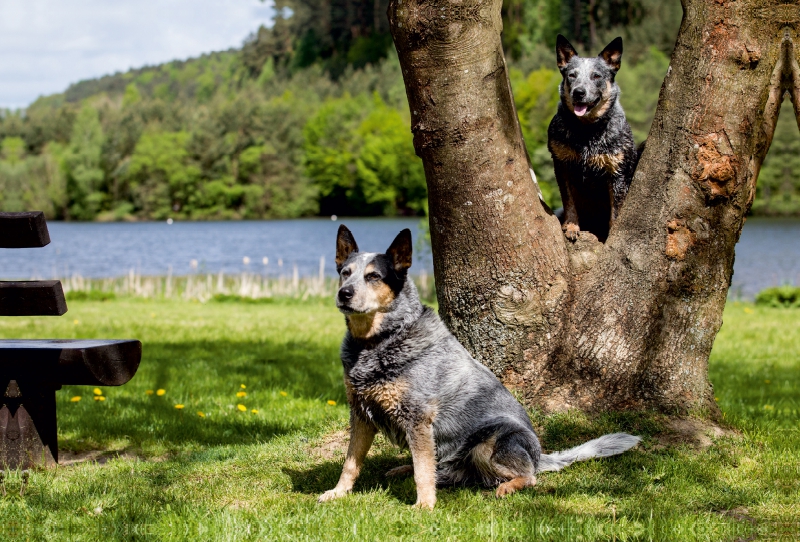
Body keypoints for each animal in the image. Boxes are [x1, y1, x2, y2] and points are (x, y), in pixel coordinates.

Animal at [318, 225, 636, 510]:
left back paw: (508, 486)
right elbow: (351, 463)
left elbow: (423, 472)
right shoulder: (360, 412)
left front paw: (424, 506)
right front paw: (337, 493)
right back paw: (404, 470)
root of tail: (540, 455)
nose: (344, 293)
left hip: (488, 444)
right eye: (345, 273)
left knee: (528, 477)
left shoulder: (418, 417)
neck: (377, 342)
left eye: (373, 276)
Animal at [552, 35, 636, 243]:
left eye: (596, 76)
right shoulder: (562, 164)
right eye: (572, 75)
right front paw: (571, 226)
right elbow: (569, 201)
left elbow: (616, 211)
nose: (579, 92)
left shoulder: (617, 173)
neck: (587, 131)